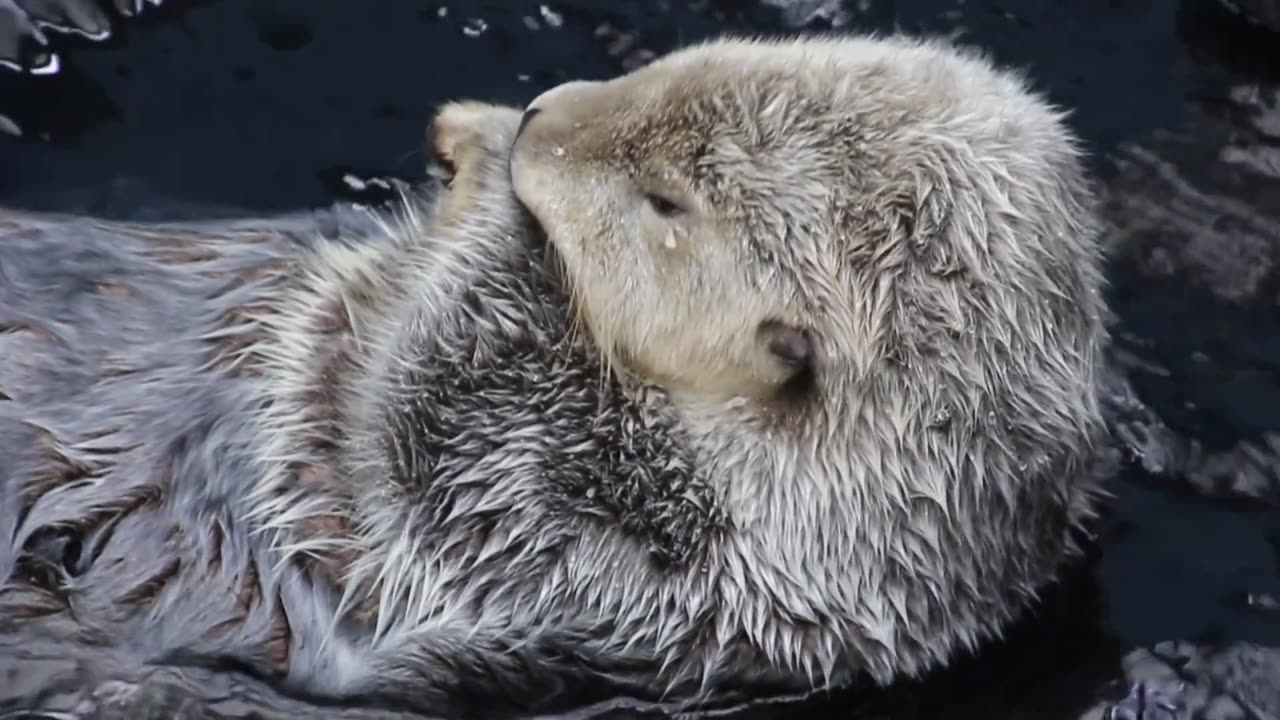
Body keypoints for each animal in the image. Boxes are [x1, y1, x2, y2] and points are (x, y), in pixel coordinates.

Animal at [0, 32, 1111, 712]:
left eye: (666, 202)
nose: (542, 114)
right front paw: (475, 133)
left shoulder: (601, 566)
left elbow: (405, 450)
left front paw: (489, 165)